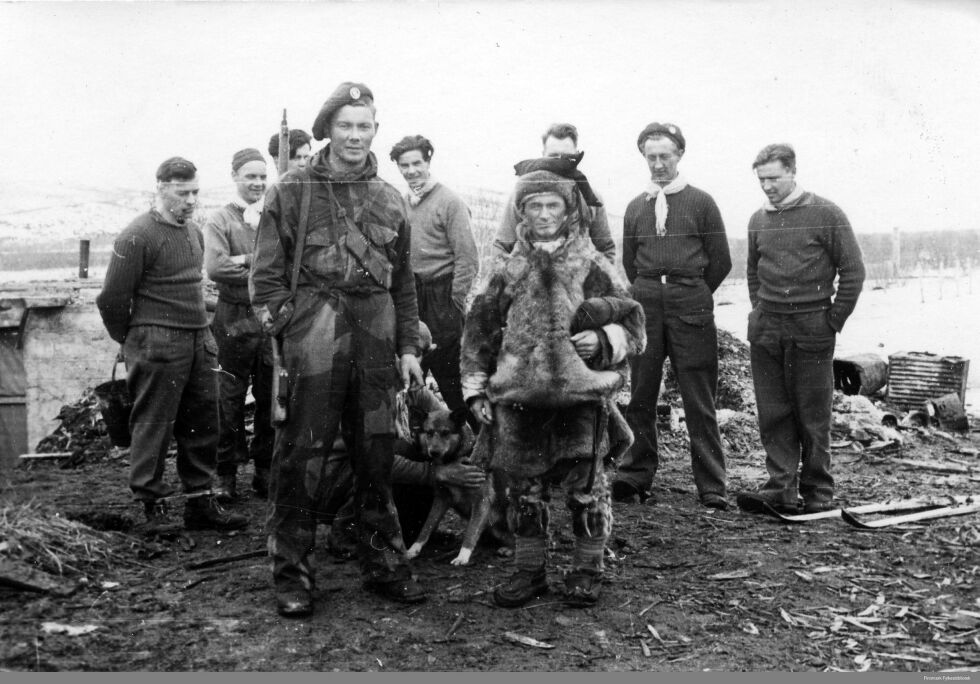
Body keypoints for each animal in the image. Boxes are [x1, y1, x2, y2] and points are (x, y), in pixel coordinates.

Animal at [406, 408, 512, 564]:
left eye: (445, 432)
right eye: (429, 433)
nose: (434, 452)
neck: (454, 459)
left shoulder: (482, 502)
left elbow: (470, 532)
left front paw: (462, 556)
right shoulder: (441, 499)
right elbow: (427, 526)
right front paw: (414, 549)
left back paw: (509, 549)